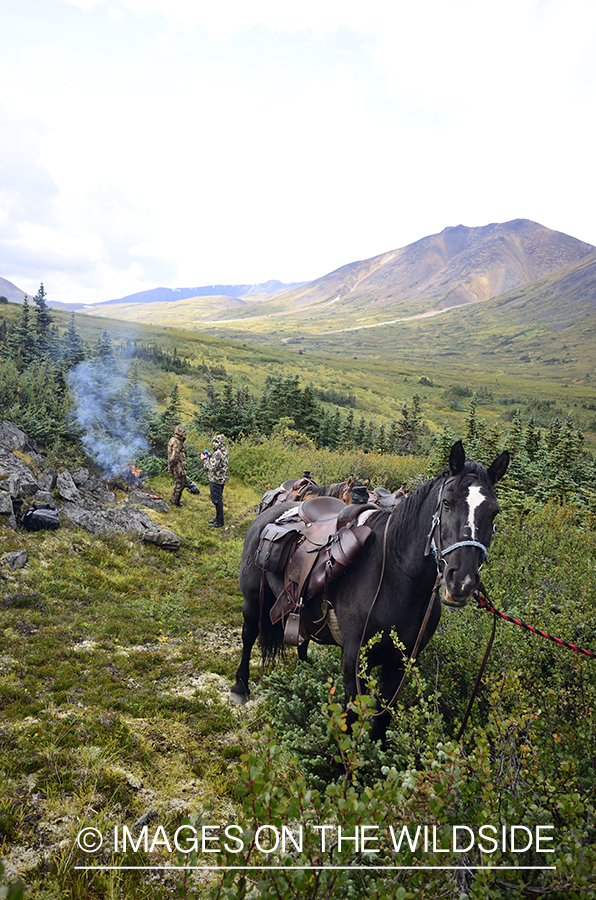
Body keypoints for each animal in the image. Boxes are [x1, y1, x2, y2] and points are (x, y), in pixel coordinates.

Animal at [232, 442, 508, 740]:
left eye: (494, 512)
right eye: (447, 502)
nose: (462, 582)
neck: (395, 579)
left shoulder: (399, 665)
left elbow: (382, 721)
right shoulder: (354, 660)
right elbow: (351, 720)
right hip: (251, 600)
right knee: (249, 635)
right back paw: (240, 687)